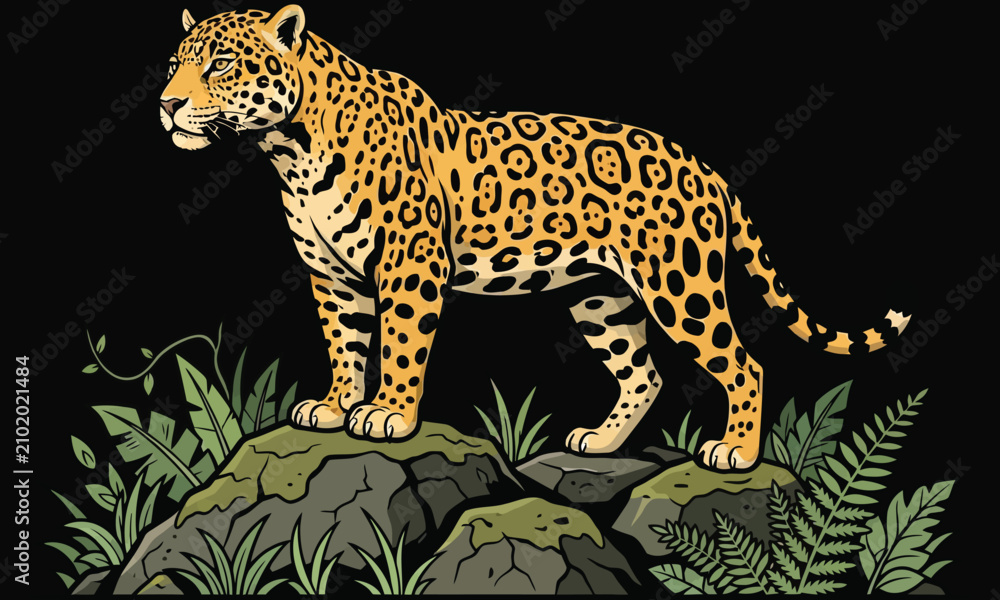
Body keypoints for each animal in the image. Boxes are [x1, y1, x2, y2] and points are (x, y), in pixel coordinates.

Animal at [159, 6, 910, 470]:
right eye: (173, 64)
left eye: (220, 64)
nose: (165, 103)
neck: (289, 147)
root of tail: (708, 169)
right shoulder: (333, 275)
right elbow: (346, 342)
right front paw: (337, 403)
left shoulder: (409, 266)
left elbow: (399, 346)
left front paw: (388, 415)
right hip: (602, 296)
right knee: (644, 373)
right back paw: (600, 442)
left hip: (681, 288)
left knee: (743, 365)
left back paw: (737, 453)